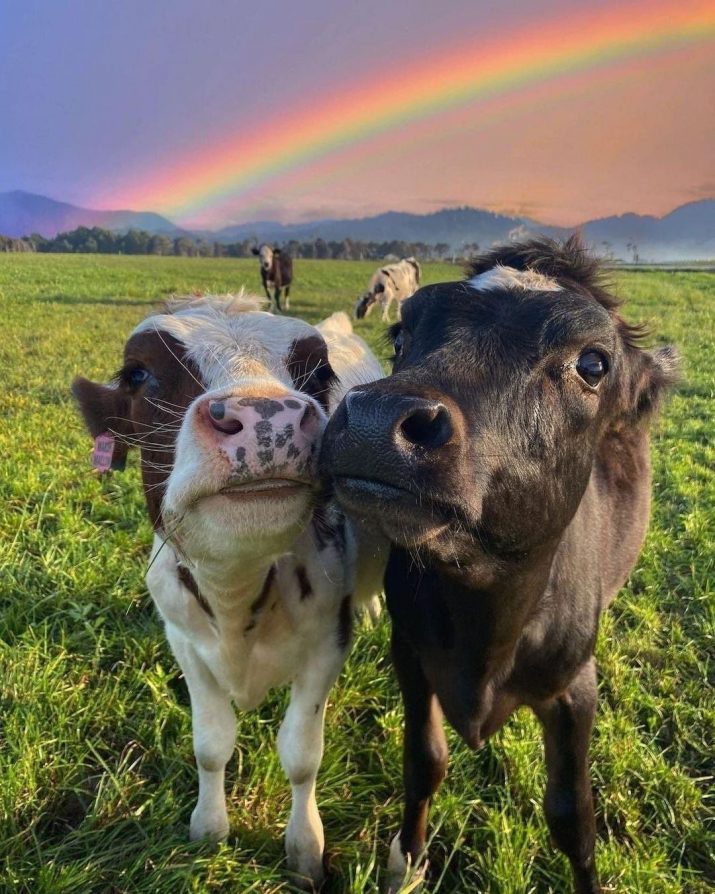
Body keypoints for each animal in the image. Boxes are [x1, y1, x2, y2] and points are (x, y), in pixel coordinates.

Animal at [72, 296, 386, 888]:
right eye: (138, 374)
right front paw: (209, 828)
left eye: (318, 372)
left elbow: (301, 755)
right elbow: (211, 745)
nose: (268, 417)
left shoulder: (328, 643)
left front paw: (305, 848)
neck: (237, 596)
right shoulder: (184, 642)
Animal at [322, 238, 680, 894]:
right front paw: (409, 857)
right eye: (402, 336)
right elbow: (424, 762)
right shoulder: (412, 655)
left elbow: (572, 817)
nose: (375, 420)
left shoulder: (573, 688)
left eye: (593, 365)